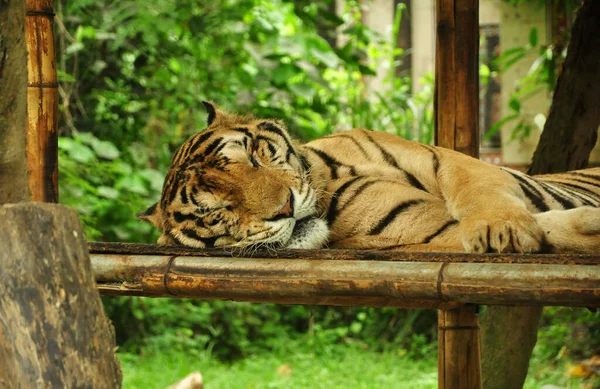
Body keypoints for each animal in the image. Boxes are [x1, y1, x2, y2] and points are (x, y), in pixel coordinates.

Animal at [137, 101, 600, 253]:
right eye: (217, 210)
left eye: (253, 157)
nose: (285, 207)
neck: (327, 176)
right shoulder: (426, 231)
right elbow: (553, 228)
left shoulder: (446, 159)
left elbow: (480, 189)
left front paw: (501, 226)